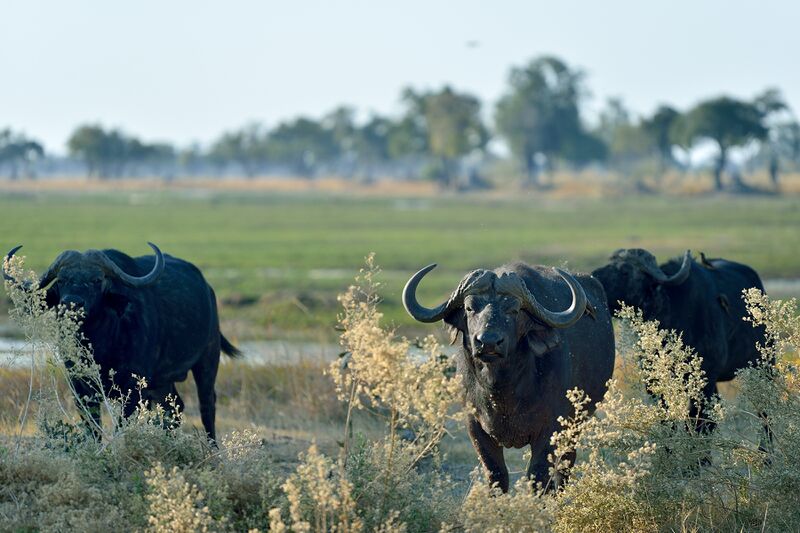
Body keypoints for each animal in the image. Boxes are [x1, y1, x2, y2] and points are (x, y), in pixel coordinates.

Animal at [3, 243, 241, 442]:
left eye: (97, 280)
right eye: (61, 280)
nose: (72, 303)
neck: (100, 345)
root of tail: (208, 289)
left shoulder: (133, 389)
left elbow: (121, 427)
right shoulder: (79, 387)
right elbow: (93, 428)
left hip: (208, 360)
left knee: (207, 406)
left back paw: (213, 448)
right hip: (162, 382)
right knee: (174, 408)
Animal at [403, 262, 615, 492]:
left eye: (513, 310)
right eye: (470, 308)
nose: (488, 342)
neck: (503, 390)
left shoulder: (552, 428)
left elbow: (538, 475)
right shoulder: (475, 427)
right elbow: (496, 473)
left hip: (577, 424)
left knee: (566, 465)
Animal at [591, 249, 768, 434]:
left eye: (625, 271)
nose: (595, 276)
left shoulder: (706, 378)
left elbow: (697, 422)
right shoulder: (653, 381)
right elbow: (667, 419)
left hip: (765, 367)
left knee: (764, 412)